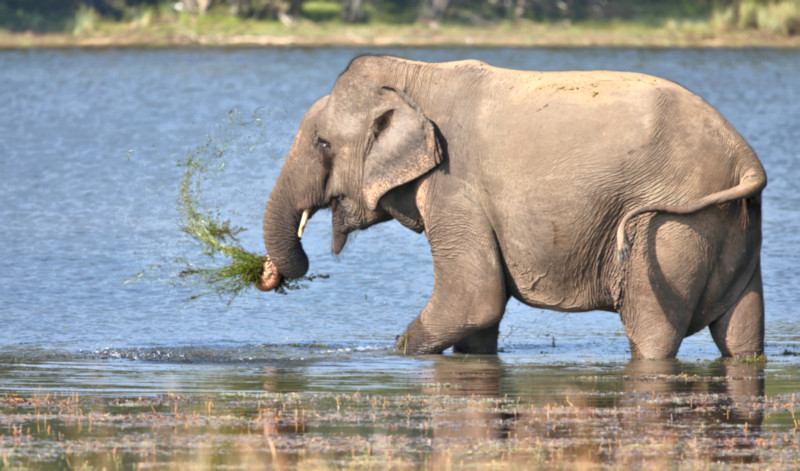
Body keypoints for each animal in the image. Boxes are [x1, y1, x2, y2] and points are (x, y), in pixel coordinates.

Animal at [258, 55, 768, 360]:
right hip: (732, 227)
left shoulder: (454, 188)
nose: (268, 273)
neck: (416, 76)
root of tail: (744, 157)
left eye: (323, 143)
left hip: (668, 232)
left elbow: (472, 299)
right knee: (741, 334)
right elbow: (478, 323)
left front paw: (397, 353)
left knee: (652, 335)